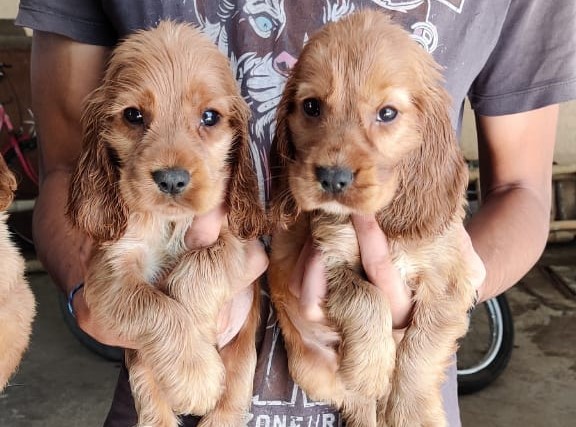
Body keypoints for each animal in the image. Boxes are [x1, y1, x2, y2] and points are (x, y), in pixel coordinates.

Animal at [66, 20, 268, 427]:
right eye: (133, 115)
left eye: (209, 117)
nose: (172, 180)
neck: (169, 224)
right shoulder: (108, 272)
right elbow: (156, 306)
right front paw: (195, 374)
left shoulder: (236, 241)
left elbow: (200, 266)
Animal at [270, 10, 476, 427]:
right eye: (311, 107)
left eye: (387, 113)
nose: (333, 177)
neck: (382, 220)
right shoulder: (331, 257)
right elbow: (366, 296)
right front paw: (370, 368)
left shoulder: (449, 281)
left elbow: (422, 346)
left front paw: (413, 412)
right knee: (359, 403)